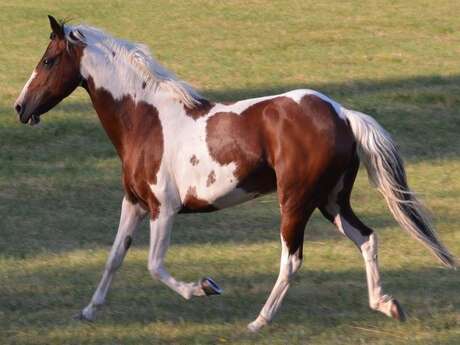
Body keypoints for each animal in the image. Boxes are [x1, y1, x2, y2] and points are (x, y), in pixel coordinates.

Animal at [14, 16, 456, 330]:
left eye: (48, 61)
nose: (20, 107)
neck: (146, 121)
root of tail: (342, 114)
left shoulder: (163, 208)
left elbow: (154, 265)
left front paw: (206, 287)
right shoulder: (135, 204)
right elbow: (114, 258)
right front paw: (88, 312)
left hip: (296, 201)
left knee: (292, 259)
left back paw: (259, 321)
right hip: (331, 201)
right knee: (367, 237)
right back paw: (387, 305)